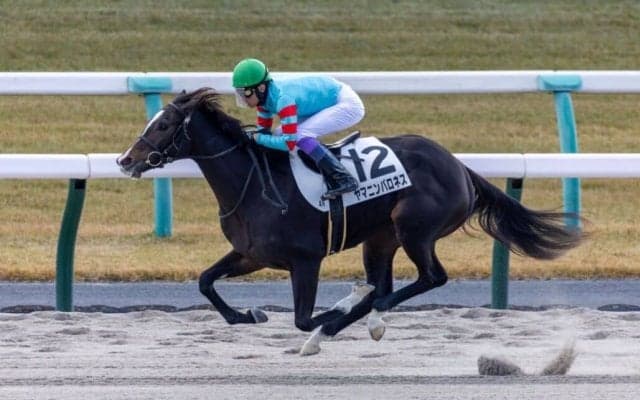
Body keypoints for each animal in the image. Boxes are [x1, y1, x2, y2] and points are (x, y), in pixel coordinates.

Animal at [117, 87, 584, 355]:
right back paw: (363, 315)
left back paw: (366, 316)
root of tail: (459, 166)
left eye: (164, 125)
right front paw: (250, 314)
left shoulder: (306, 260)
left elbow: (305, 318)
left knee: (429, 278)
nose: (125, 160)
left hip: (415, 229)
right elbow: (205, 281)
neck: (254, 184)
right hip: (380, 239)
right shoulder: (252, 254)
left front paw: (335, 312)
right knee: (386, 285)